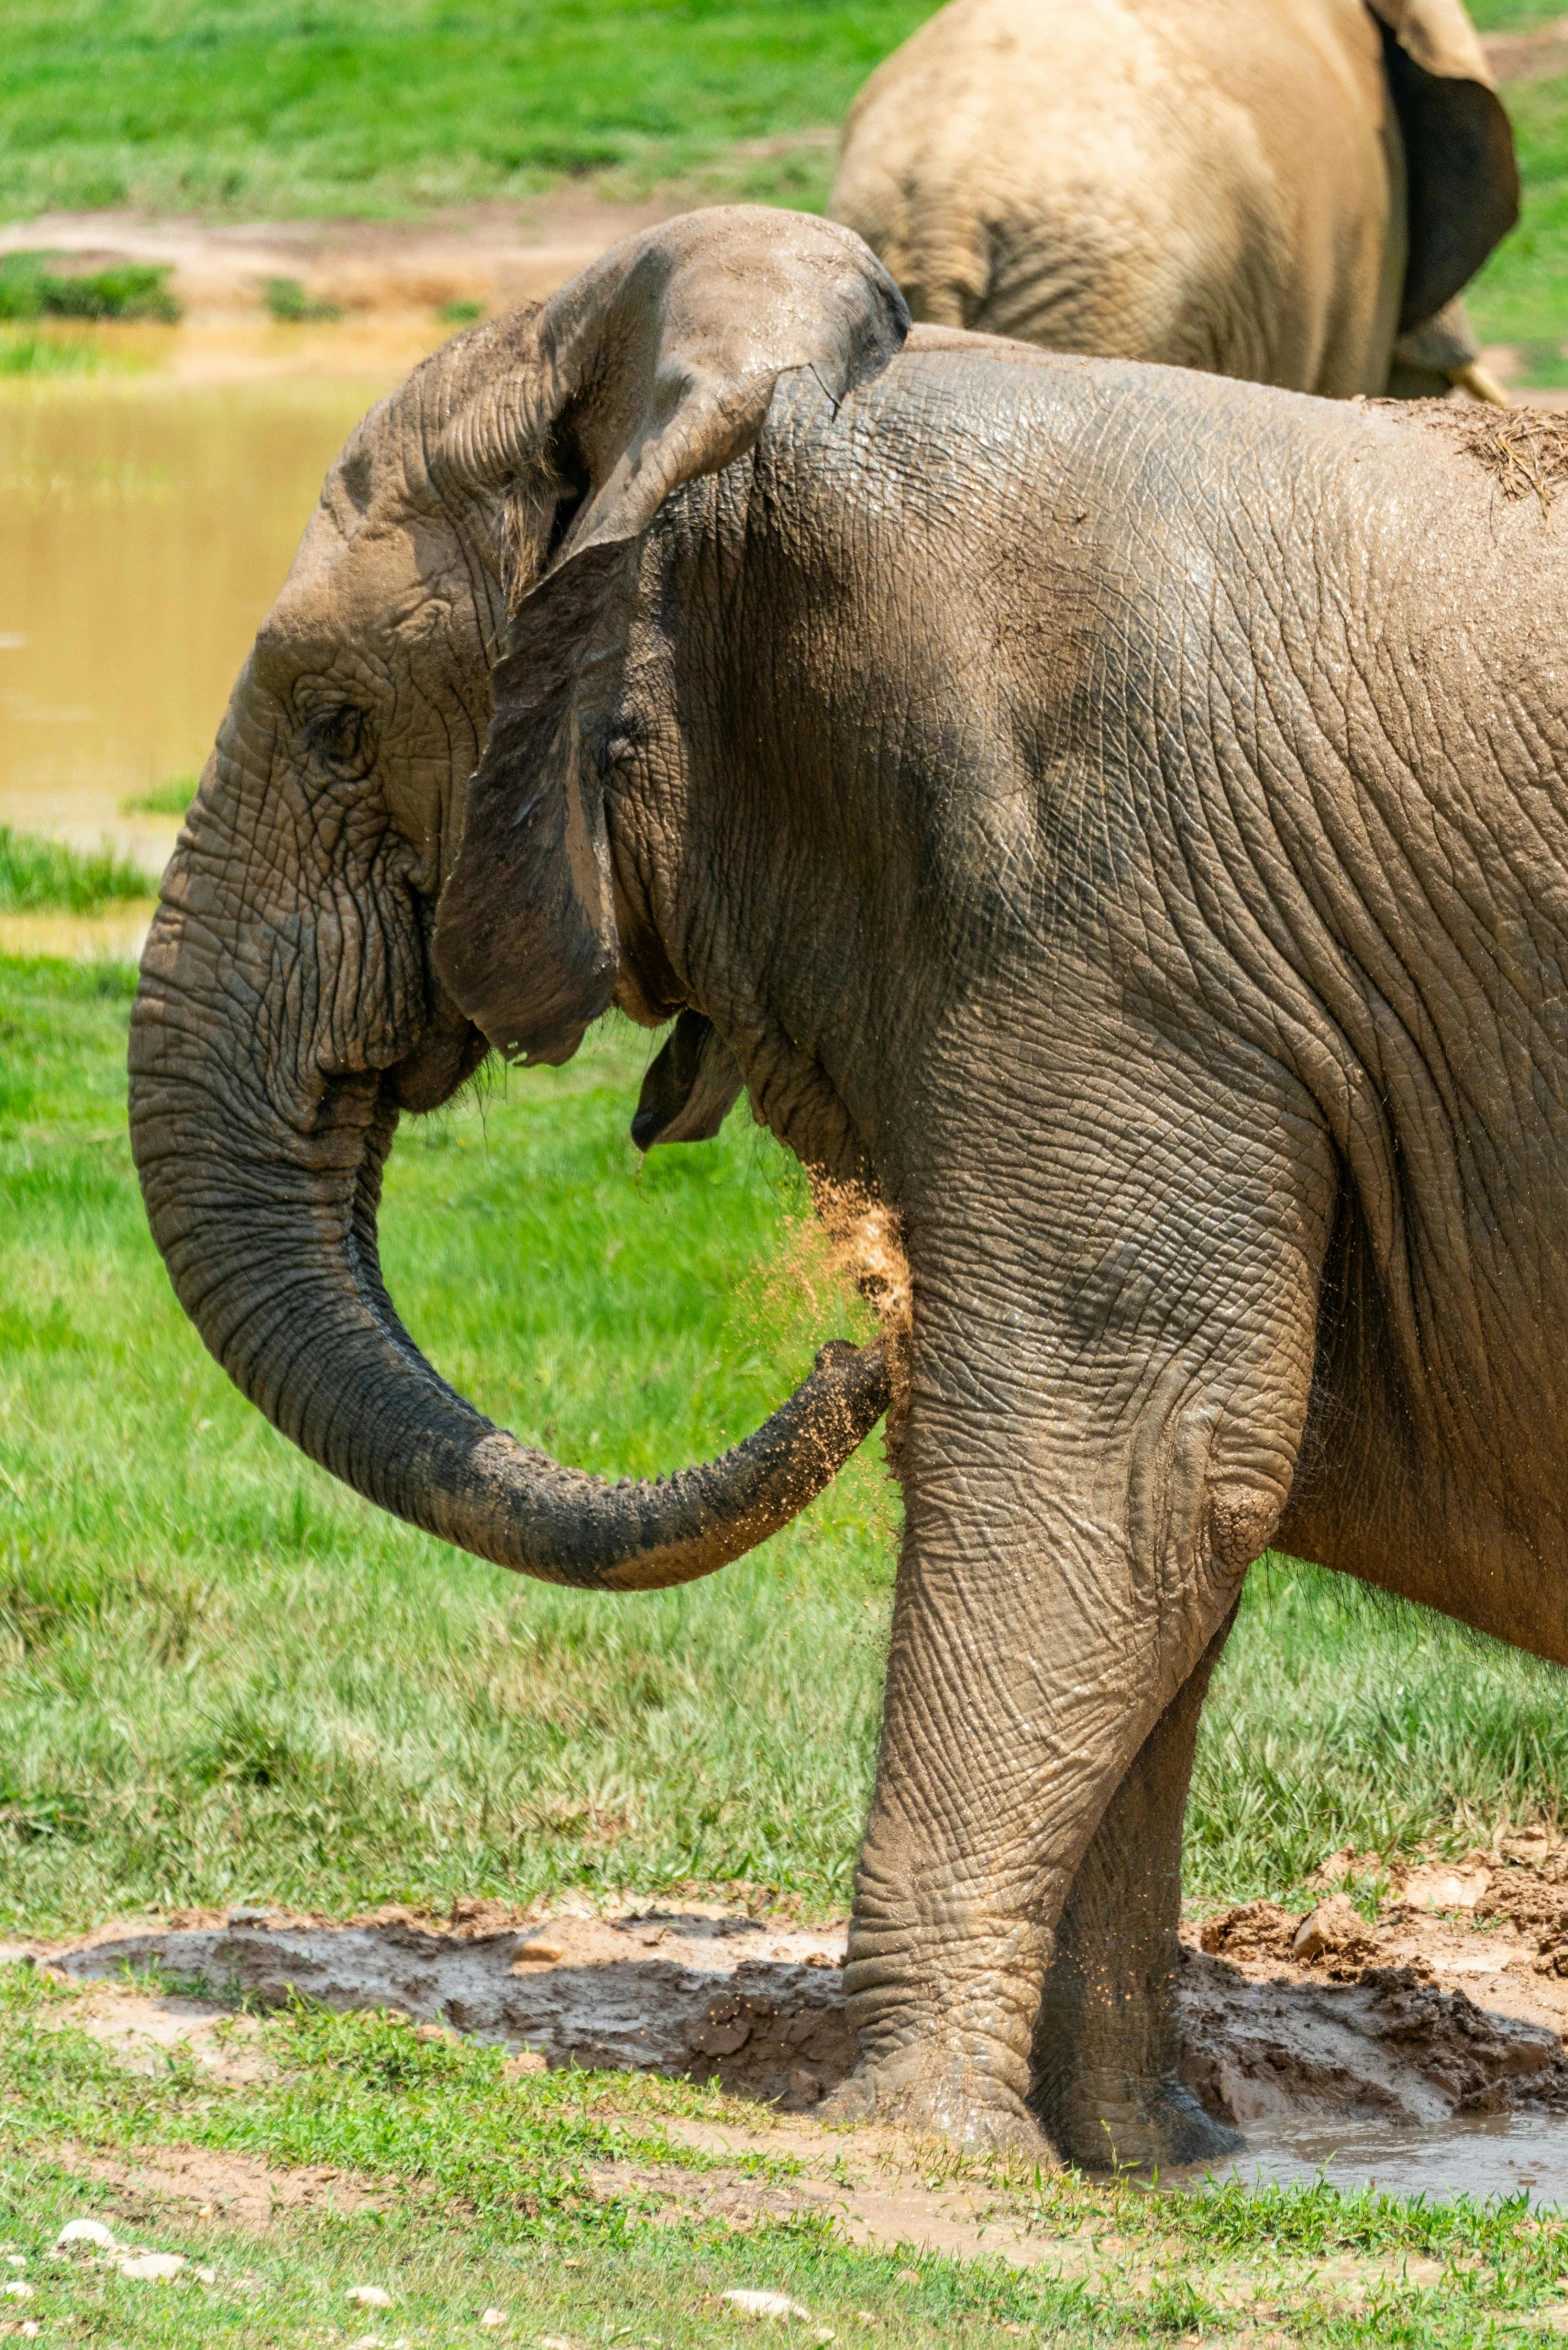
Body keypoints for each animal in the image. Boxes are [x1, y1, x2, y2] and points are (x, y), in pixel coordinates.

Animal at [128, 202, 1568, 2162]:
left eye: (340, 720)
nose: (847, 1338)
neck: (780, 423)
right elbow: (1172, 1500)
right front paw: (1140, 2159)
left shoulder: (1094, 921)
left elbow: (1118, 1436)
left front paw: (900, 2140)